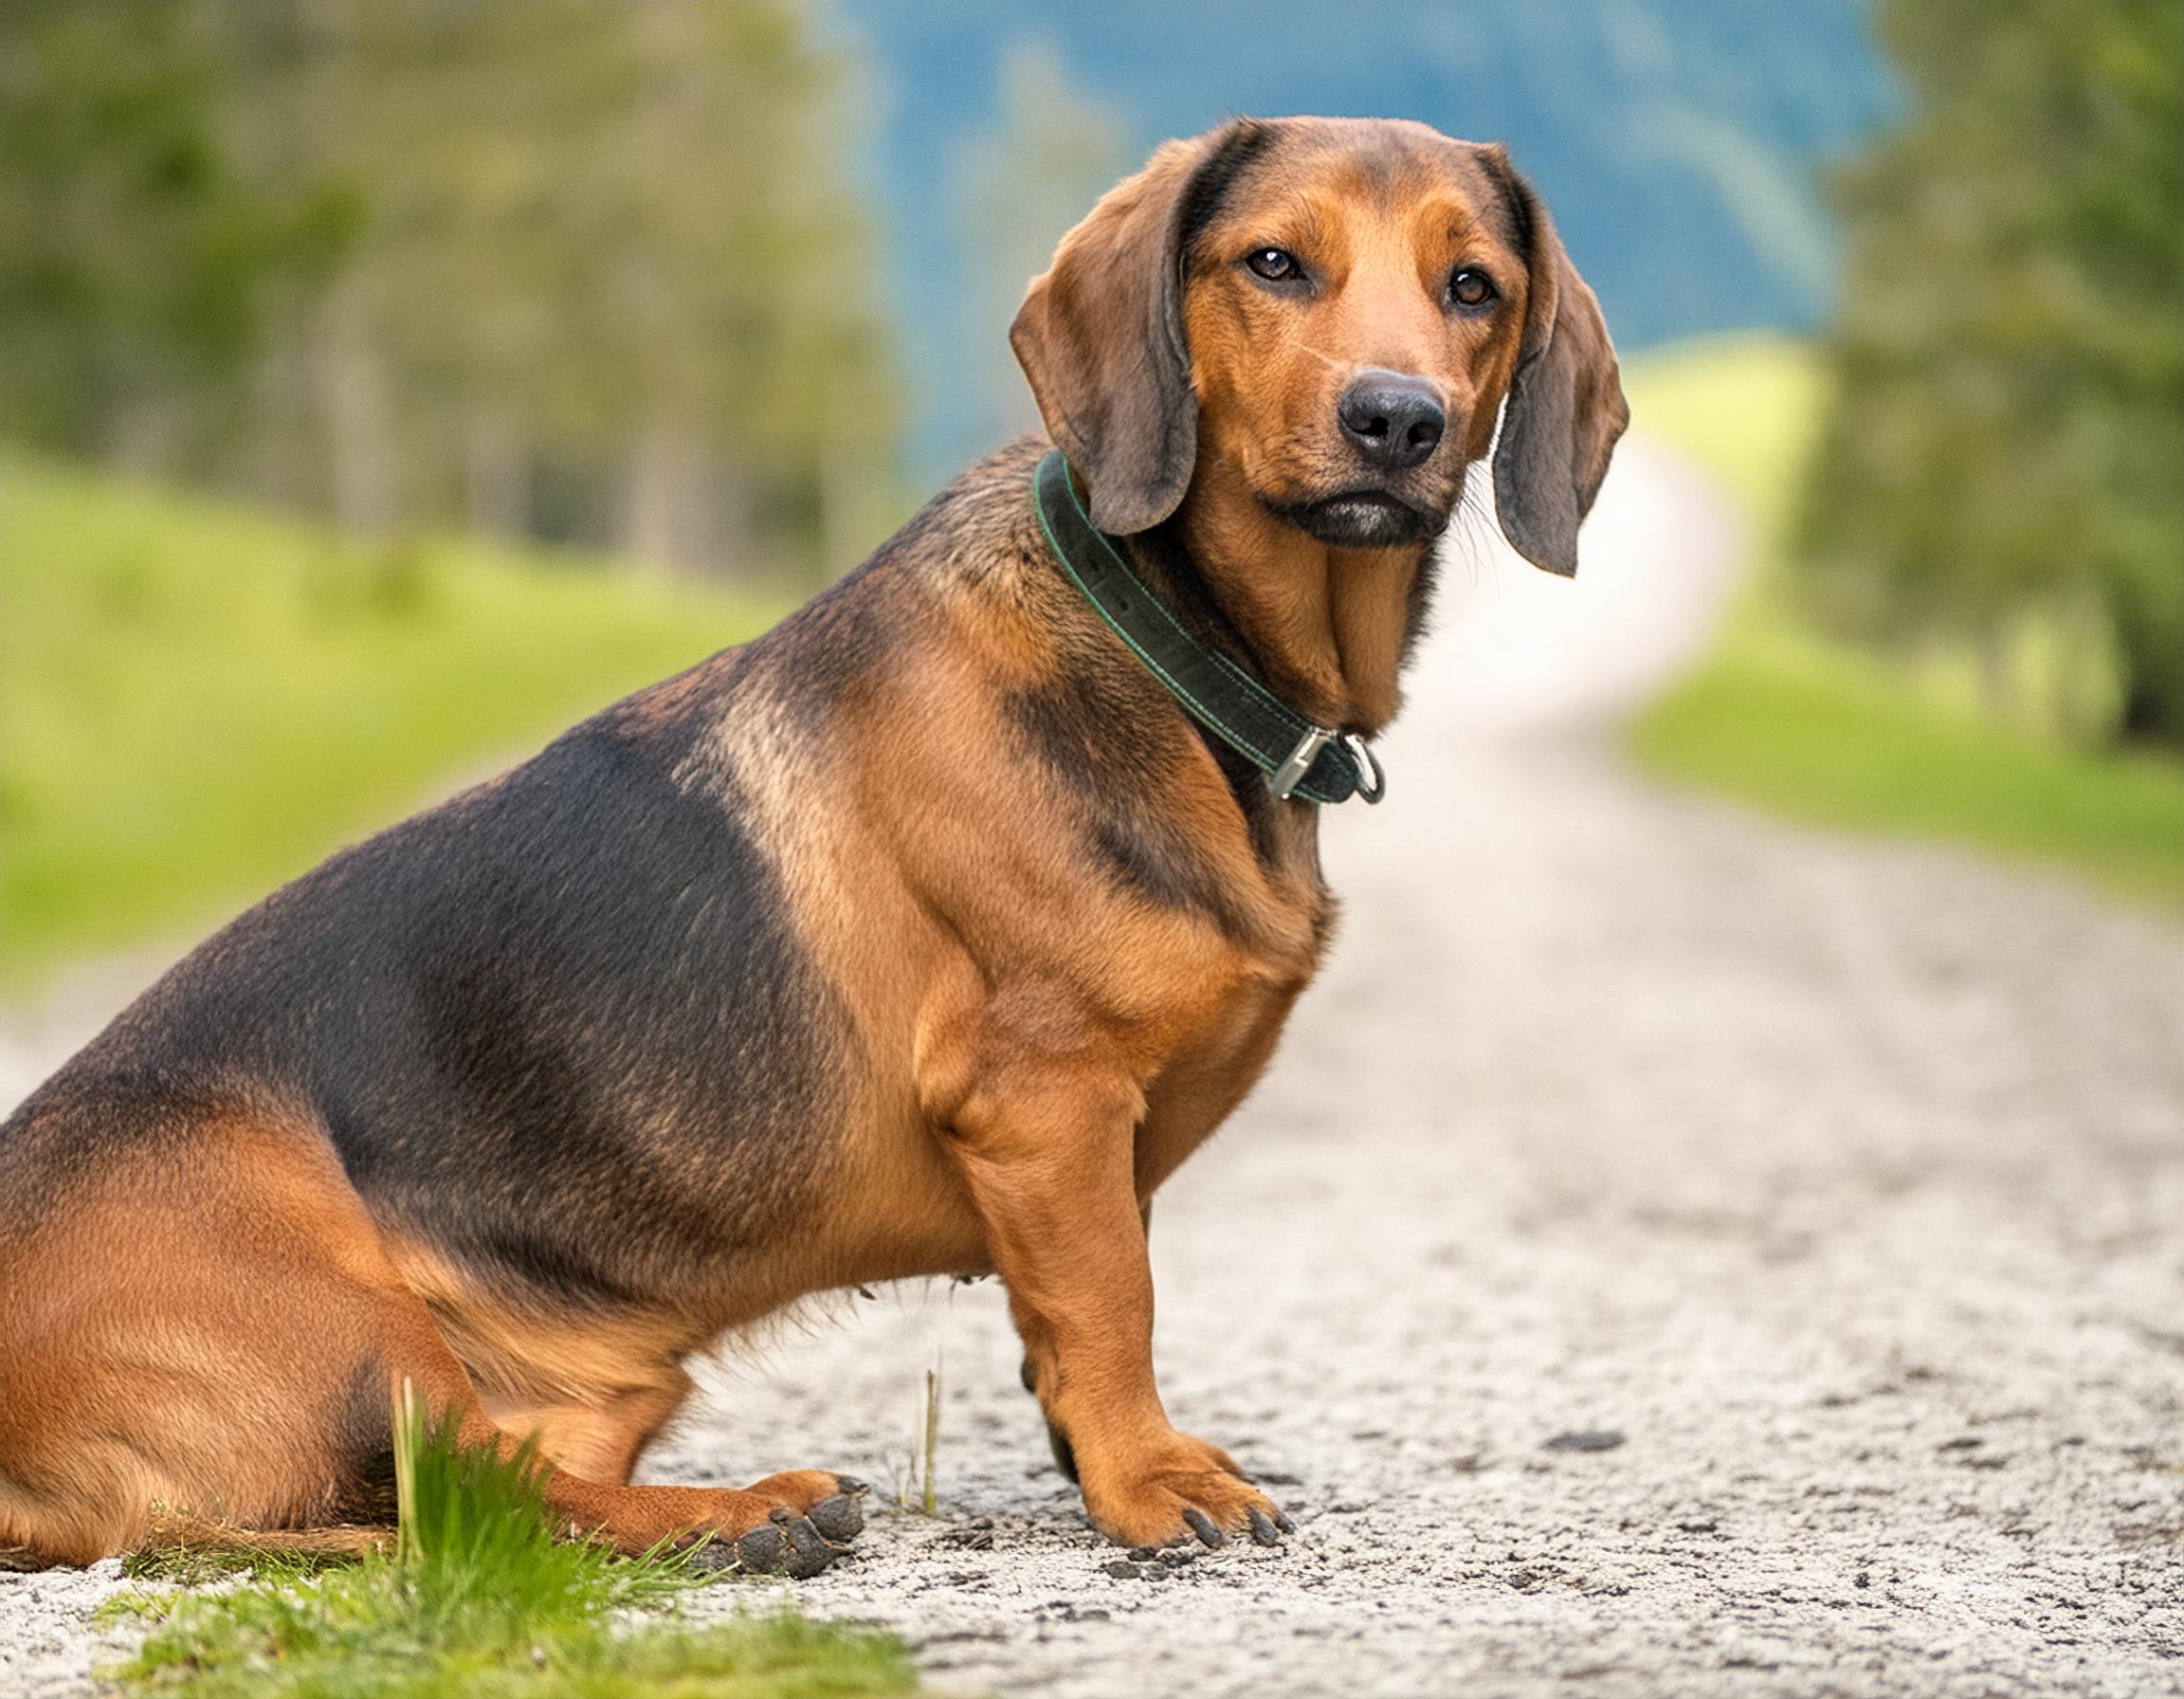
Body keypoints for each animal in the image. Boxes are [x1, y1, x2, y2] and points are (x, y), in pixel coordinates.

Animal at [0, 119, 1625, 1572]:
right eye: (1276, 262)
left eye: (1473, 285)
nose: (1397, 422)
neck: (1169, 651)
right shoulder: (1044, 1098)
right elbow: (1112, 1311)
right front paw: (1149, 1480)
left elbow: (1074, 1319)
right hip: (351, 1326)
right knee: (484, 1501)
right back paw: (741, 1516)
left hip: (589, 1380)